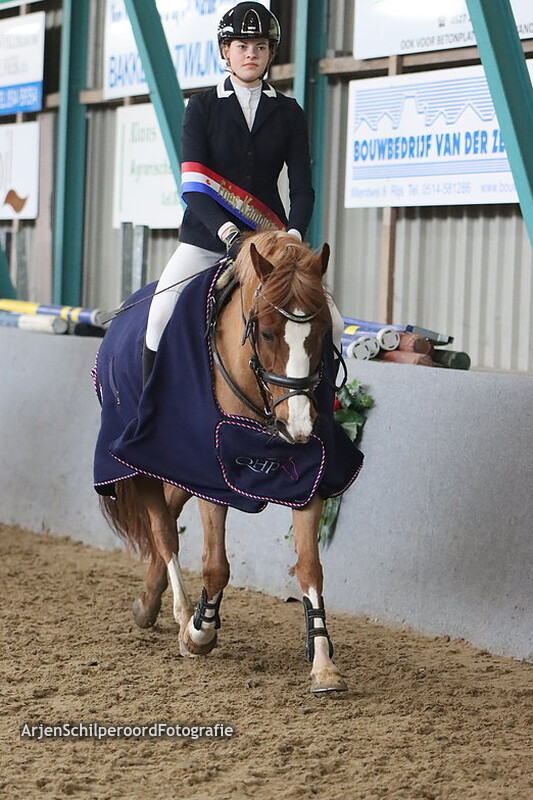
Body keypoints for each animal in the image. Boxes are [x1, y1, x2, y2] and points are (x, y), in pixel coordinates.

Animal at [93, 230, 363, 693]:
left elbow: (310, 566)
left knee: (168, 512)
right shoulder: (211, 472)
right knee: (163, 530)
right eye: (268, 333)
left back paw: (148, 603)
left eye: (323, 332)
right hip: (141, 458)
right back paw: (182, 613)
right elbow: (216, 566)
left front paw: (323, 662)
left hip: (179, 472)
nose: (299, 425)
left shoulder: (307, 473)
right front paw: (199, 633)